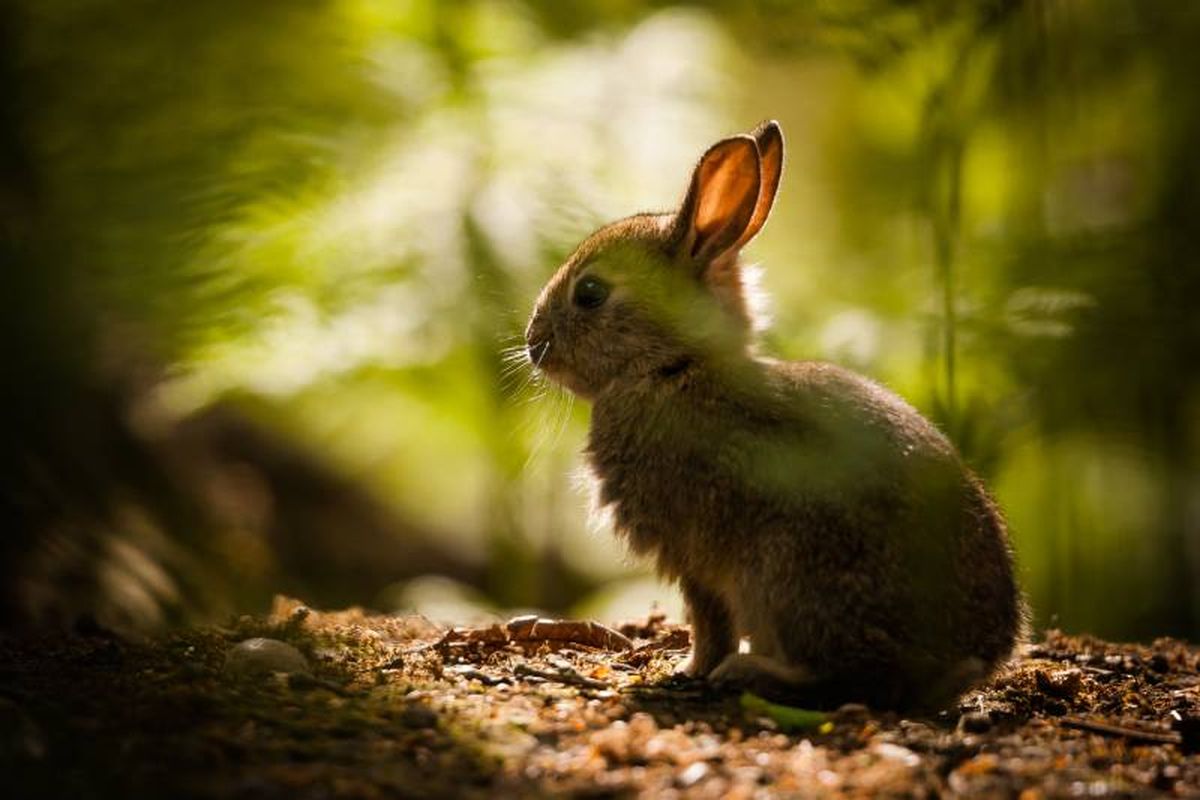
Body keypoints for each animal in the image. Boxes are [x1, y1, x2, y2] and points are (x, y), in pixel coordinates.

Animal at [524, 120, 1025, 711]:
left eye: (590, 293)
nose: (533, 343)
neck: (675, 365)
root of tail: (960, 662)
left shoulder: (694, 558)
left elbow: (709, 623)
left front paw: (686, 669)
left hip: (786, 576)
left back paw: (749, 673)